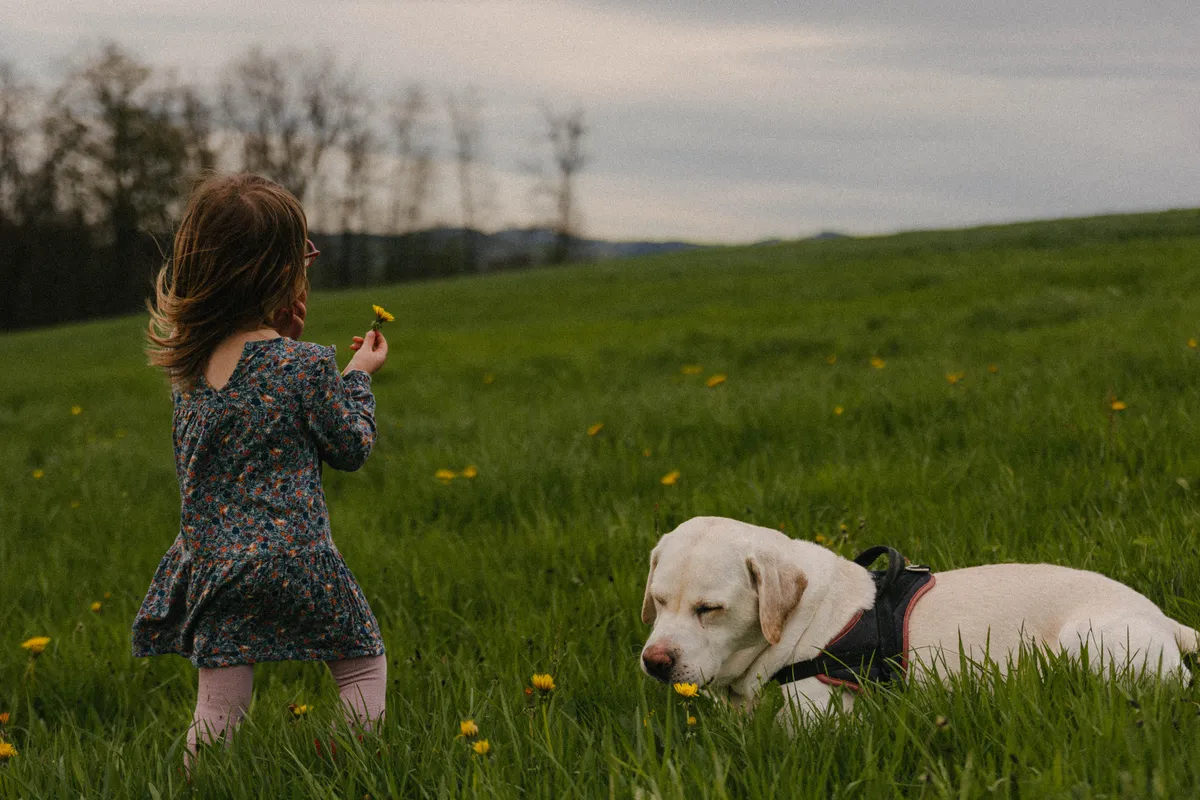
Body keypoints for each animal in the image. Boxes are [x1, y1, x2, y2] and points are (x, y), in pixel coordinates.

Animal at [643, 520, 1195, 724]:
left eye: (710, 609)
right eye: (658, 601)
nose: (654, 662)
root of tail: (1165, 618)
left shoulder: (821, 715)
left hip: (1089, 642)